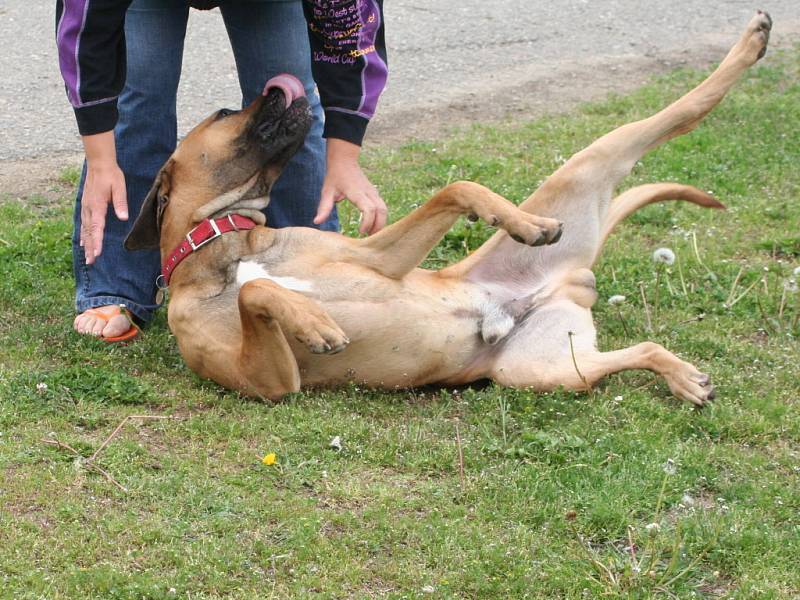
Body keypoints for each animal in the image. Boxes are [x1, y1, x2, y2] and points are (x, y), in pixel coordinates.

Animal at [128, 10, 772, 404]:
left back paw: (753, 41)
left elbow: (456, 187)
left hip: (587, 168)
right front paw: (312, 319)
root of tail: (566, 286)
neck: (225, 244)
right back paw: (683, 376)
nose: (275, 86)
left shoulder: (379, 260)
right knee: (640, 349)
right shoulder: (270, 382)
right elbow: (259, 293)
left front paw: (520, 221)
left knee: (679, 111)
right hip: (545, 371)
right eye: (221, 113)